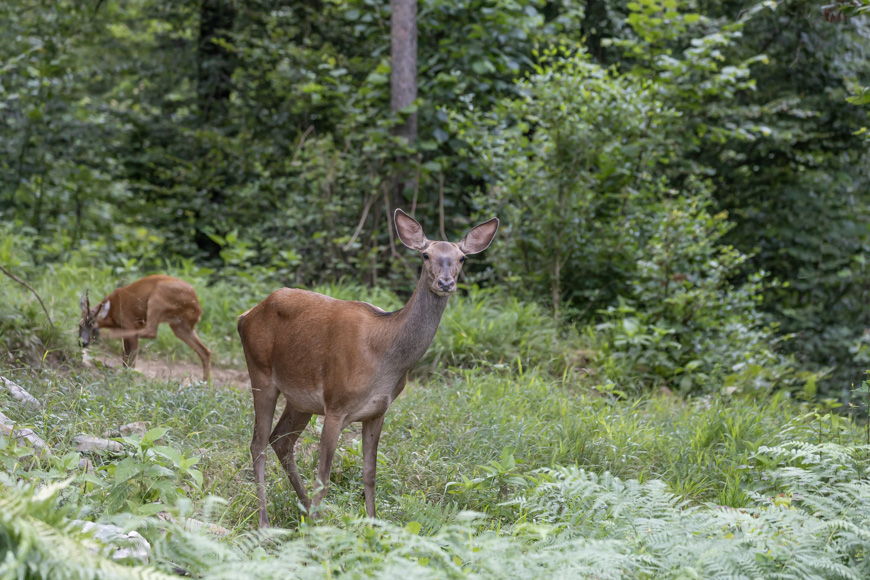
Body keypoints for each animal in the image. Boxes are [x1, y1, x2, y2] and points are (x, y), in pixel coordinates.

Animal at [79, 276, 213, 382]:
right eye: (80, 325)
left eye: (94, 327)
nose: (83, 343)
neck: (112, 312)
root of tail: (197, 306)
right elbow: (125, 357)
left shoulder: (129, 323)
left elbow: (131, 359)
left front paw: (127, 379)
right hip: (181, 326)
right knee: (205, 351)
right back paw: (204, 384)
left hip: (158, 298)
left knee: (151, 331)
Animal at [238, 210, 500, 524]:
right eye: (426, 255)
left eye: (461, 258)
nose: (446, 283)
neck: (384, 357)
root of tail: (245, 315)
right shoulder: (336, 405)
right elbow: (324, 476)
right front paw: (317, 528)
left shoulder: (378, 411)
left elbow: (370, 473)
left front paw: (372, 523)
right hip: (260, 372)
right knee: (258, 443)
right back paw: (266, 521)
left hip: (300, 399)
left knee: (280, 440)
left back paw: (305, 510)